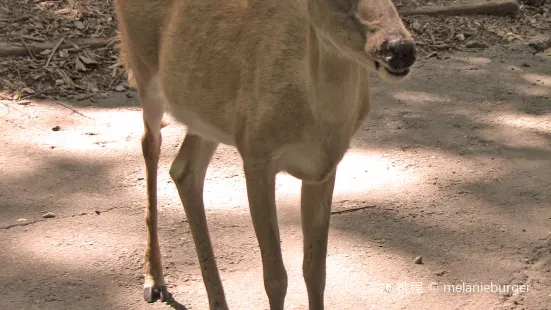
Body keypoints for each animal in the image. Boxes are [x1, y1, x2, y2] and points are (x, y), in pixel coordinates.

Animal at [114, 0, 418, 308]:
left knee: (184, 170)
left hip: (207, 115)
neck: (318, 123)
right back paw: (154, 281)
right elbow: (275, 278)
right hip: (143, 68)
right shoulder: (256, 157)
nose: (401, 50)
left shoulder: (323, 168)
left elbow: (315, 271)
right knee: (150, 144)